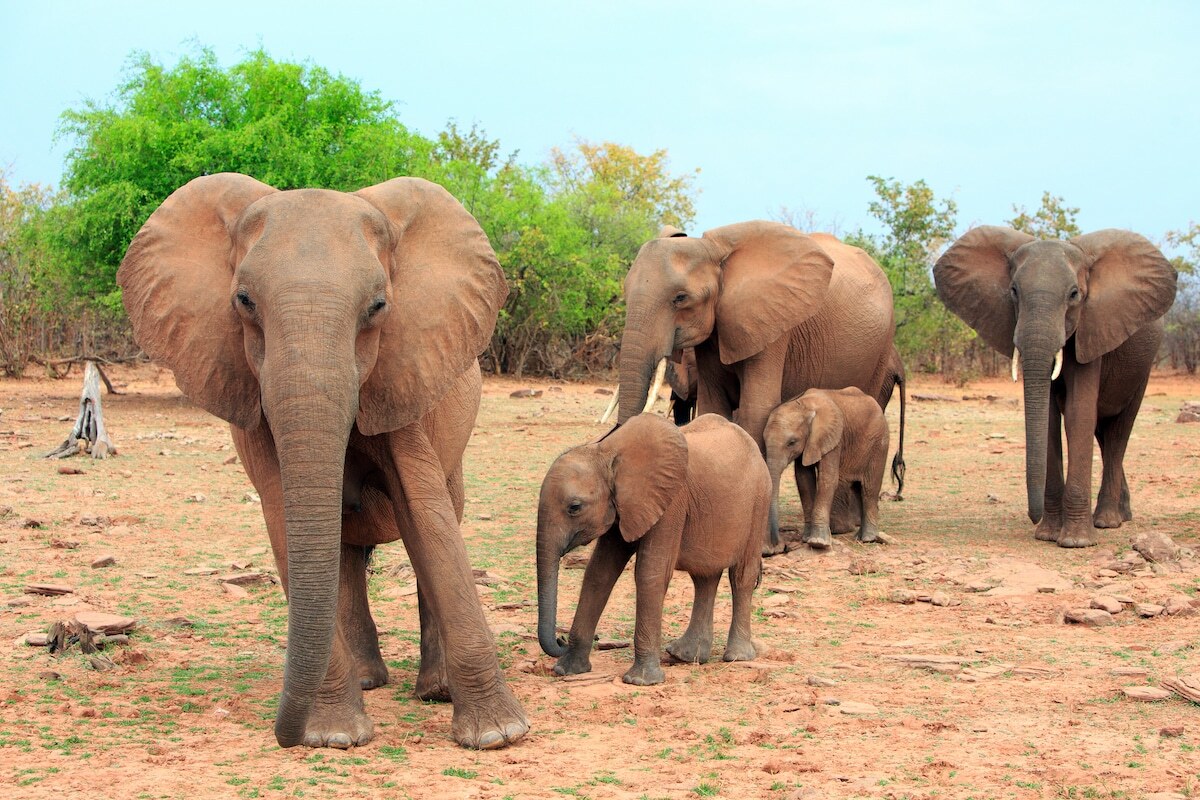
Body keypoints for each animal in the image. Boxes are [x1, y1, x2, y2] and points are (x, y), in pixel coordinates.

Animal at [119, 173, 528, 753]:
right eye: (243, 301)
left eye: (378, 306)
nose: (282, 735)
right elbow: (284, 515)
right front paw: (335, 736)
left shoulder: (403, 370)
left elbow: (426, 516)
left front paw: (497, 736)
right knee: (343, 550)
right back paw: (368, 681)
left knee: (442, 512)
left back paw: (434, 690)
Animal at [535, 412, 768, 690]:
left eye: (574, 507)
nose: (560, 640)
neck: (607, 452)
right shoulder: (624, 507)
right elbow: (599, 572)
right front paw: (568, 670)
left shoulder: (671, 503)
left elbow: (650, 573)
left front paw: (640, 681)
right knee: (705, 576)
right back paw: (685, 655)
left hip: (759, 503)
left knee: (741, 575)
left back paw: (737, 657)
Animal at [768, 388, 892, 551]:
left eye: (792, 442)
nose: (779, 545)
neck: (804, 405)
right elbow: (803, 480)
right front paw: (807, 539)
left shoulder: (833, 439)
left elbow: (828, 479)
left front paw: (818, 542)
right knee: (858, 488)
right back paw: (859, 537)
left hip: (879, 443)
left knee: (869, 488)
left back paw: (867, 539)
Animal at [931, 227, 1176, 546]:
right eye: (1013, 291)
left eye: (1074, 294)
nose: (1032, 517)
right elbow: (1048, 418)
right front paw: (1047, 535)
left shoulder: (1091, 329)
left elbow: (1078, 414)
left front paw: (1075, 542)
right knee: (1103, 433)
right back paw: (1122, 514)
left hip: (1142, 369)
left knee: (1118, 431)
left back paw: (1107, 521)